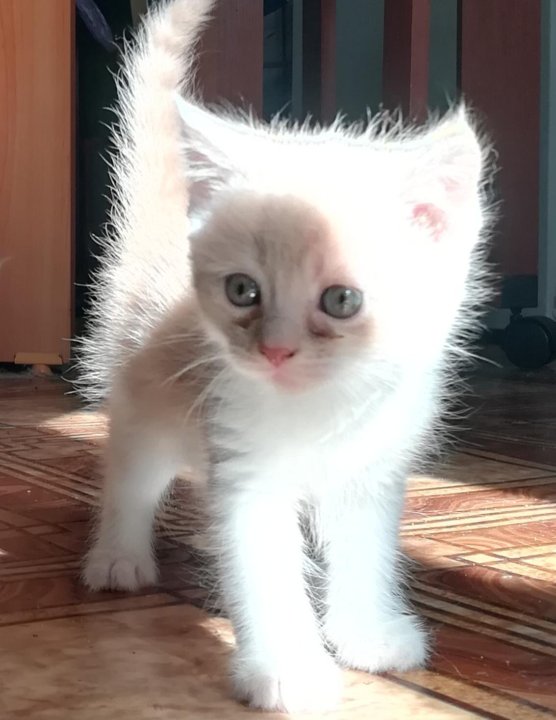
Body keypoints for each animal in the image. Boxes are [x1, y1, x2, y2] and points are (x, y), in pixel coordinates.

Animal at [80, 0, 492, 712]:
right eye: (243, 291)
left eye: (342, 300)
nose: (274, 350)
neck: (323, 409)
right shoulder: (247, 469)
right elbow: (263, 566)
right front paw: (288, 668)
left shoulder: (373, 471)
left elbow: (365, 552)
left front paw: (368, 633)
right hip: (142, 403)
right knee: (130, 480)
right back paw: (118, 557)